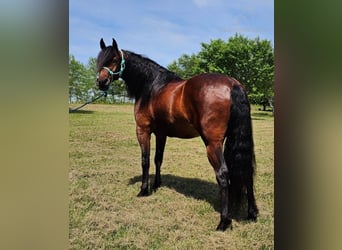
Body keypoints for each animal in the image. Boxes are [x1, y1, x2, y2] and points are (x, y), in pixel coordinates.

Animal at [95, 38, 258, 231]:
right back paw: (251, 214)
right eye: (99, 59)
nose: (101, 82)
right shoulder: (161, 134)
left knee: (223, 175)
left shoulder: (143, 131)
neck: (151, 86)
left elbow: (145, 160)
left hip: (212, 144)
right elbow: (158, 158)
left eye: (114, 58)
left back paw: (223, 222)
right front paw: (157, 184)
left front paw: (144, 190)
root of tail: (233, 85)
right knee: (247, 172)